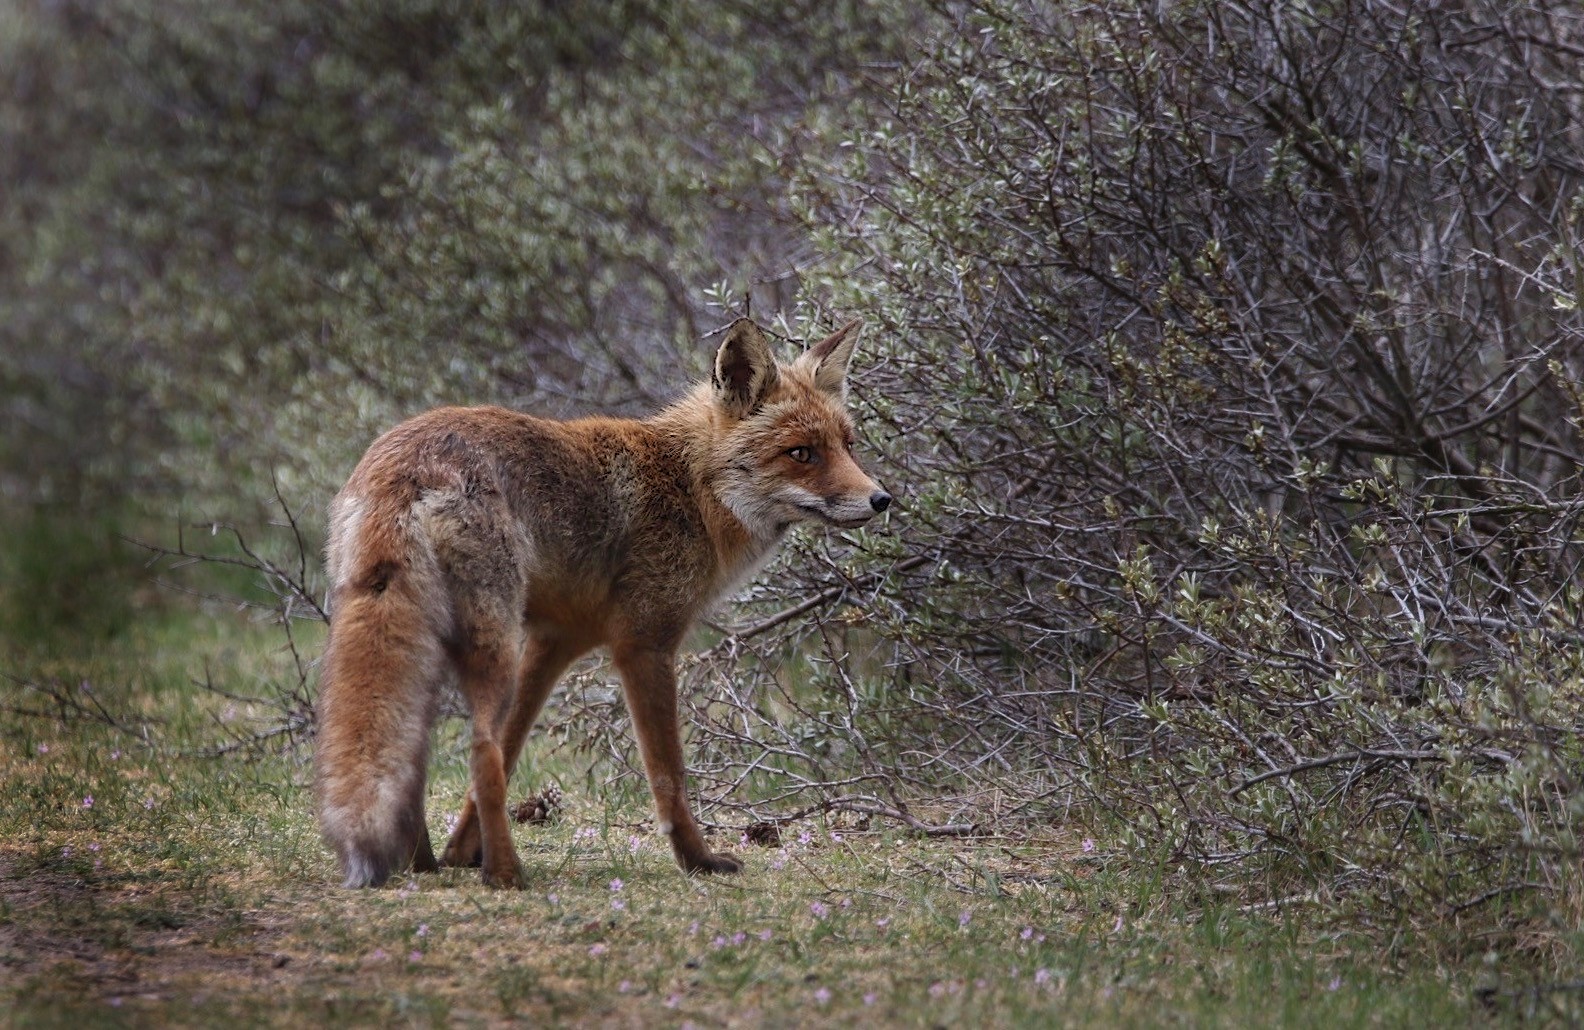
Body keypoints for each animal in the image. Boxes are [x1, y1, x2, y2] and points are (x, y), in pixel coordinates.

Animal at [313, 318, 887, 881]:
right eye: (801, 453)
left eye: (848, 444)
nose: (882, 498)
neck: (692, 488)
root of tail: (405, 464)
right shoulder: (644, 644)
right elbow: (668, 774)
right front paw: (697, 860)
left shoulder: (553, 643)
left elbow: (515, 746)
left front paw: (461, 851)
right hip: (492, 647)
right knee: (480, 751)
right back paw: (505, 873)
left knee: (433, 751)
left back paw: (426, 863)